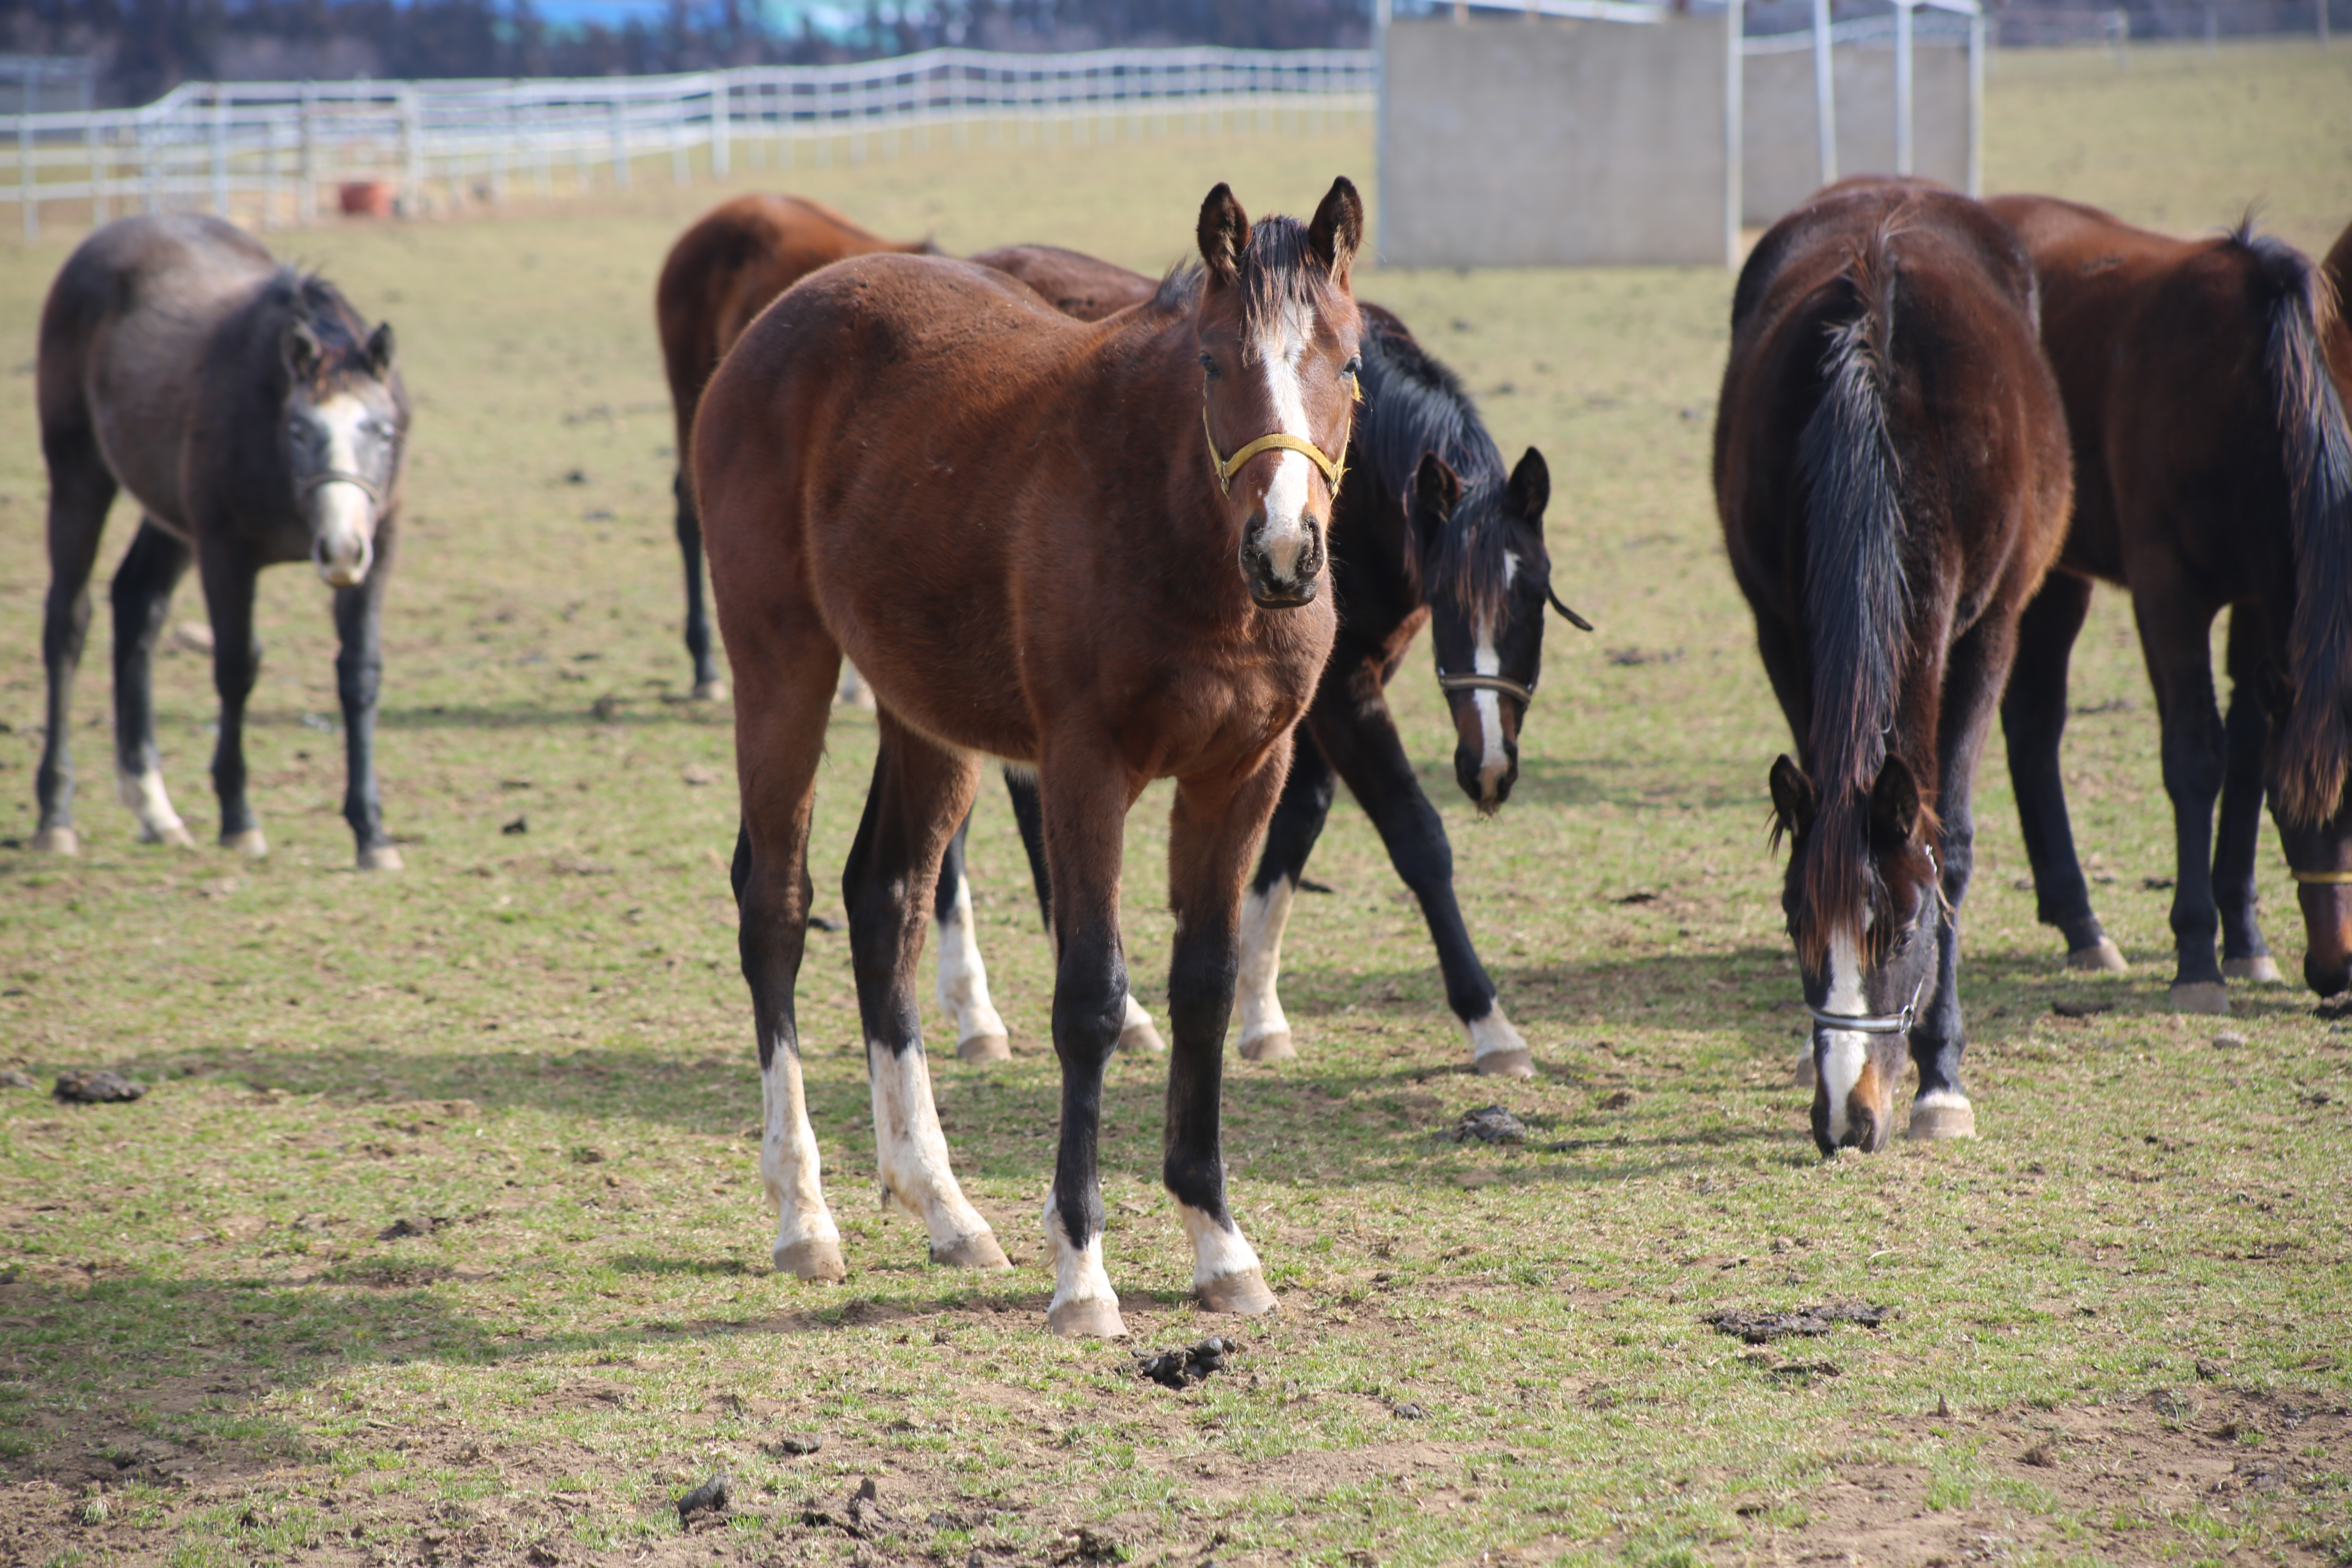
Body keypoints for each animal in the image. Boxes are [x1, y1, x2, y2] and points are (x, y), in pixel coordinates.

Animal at [33, 213, 409, 870]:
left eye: (382, 431)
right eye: (299, 429)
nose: (339, 550)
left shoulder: (378, 547)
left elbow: (359, 675)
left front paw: (372, 833)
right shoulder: (225, 552)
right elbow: (236, 668)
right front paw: (239, 818)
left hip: (168, 517)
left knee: (137, 605)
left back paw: (155, 808)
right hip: (79, 476)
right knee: (68, 624)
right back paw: (56, 815)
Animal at [686, 181, 1373, 1335]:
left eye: (1351, 361)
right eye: (1213, 361)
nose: (1285, 550)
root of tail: (784, 313)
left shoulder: (1243, 774)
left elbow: (1205, 984)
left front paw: (1219, 1243)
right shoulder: (1083, 769)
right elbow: (1091, 998)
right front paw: (1083, 1268)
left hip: (926, 714)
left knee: (885, 899)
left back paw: (943, 1204)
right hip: (783, 661)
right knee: (774, 905)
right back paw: (804, 1216)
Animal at [1722, 181, 2069, 1152]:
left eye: (1908, 929)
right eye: (1795, 921)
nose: (1849, 1118)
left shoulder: (1988, 631)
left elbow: (1953, 840)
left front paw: (1941, 1077)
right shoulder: (1781, 630)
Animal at [1985, 196, 2352, 1011]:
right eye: (2293, 811)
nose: (2338, 970)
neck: (2238, 386)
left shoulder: (2259, 600)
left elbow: (2246, 750)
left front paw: (2245, 939)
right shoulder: (2168, 590)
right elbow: (2195, 756)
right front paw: (2196, 954)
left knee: (2032, 724)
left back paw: (2075, 917)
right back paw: (2082, 921)